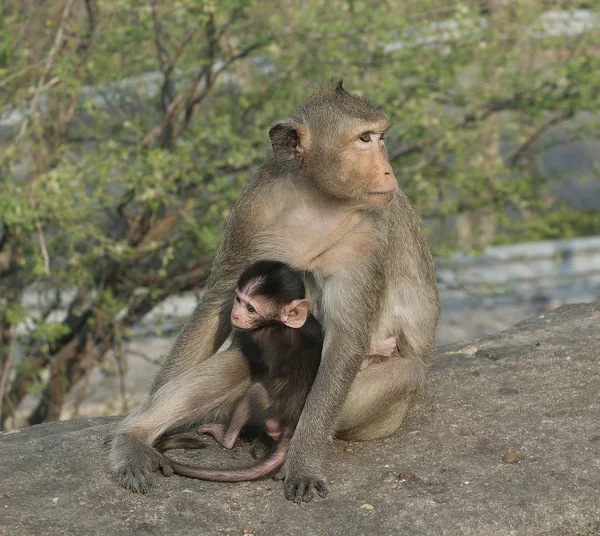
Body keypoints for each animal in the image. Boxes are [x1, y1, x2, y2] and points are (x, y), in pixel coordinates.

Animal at [157, 260, 322, 486]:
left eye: (251, 308)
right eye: (238, 299)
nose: (235, 314)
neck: (278, 323)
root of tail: (290, 428)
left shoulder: (257, 336)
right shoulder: (312, 324)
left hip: (268, 412)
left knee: (254, 392)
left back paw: (226, 437)